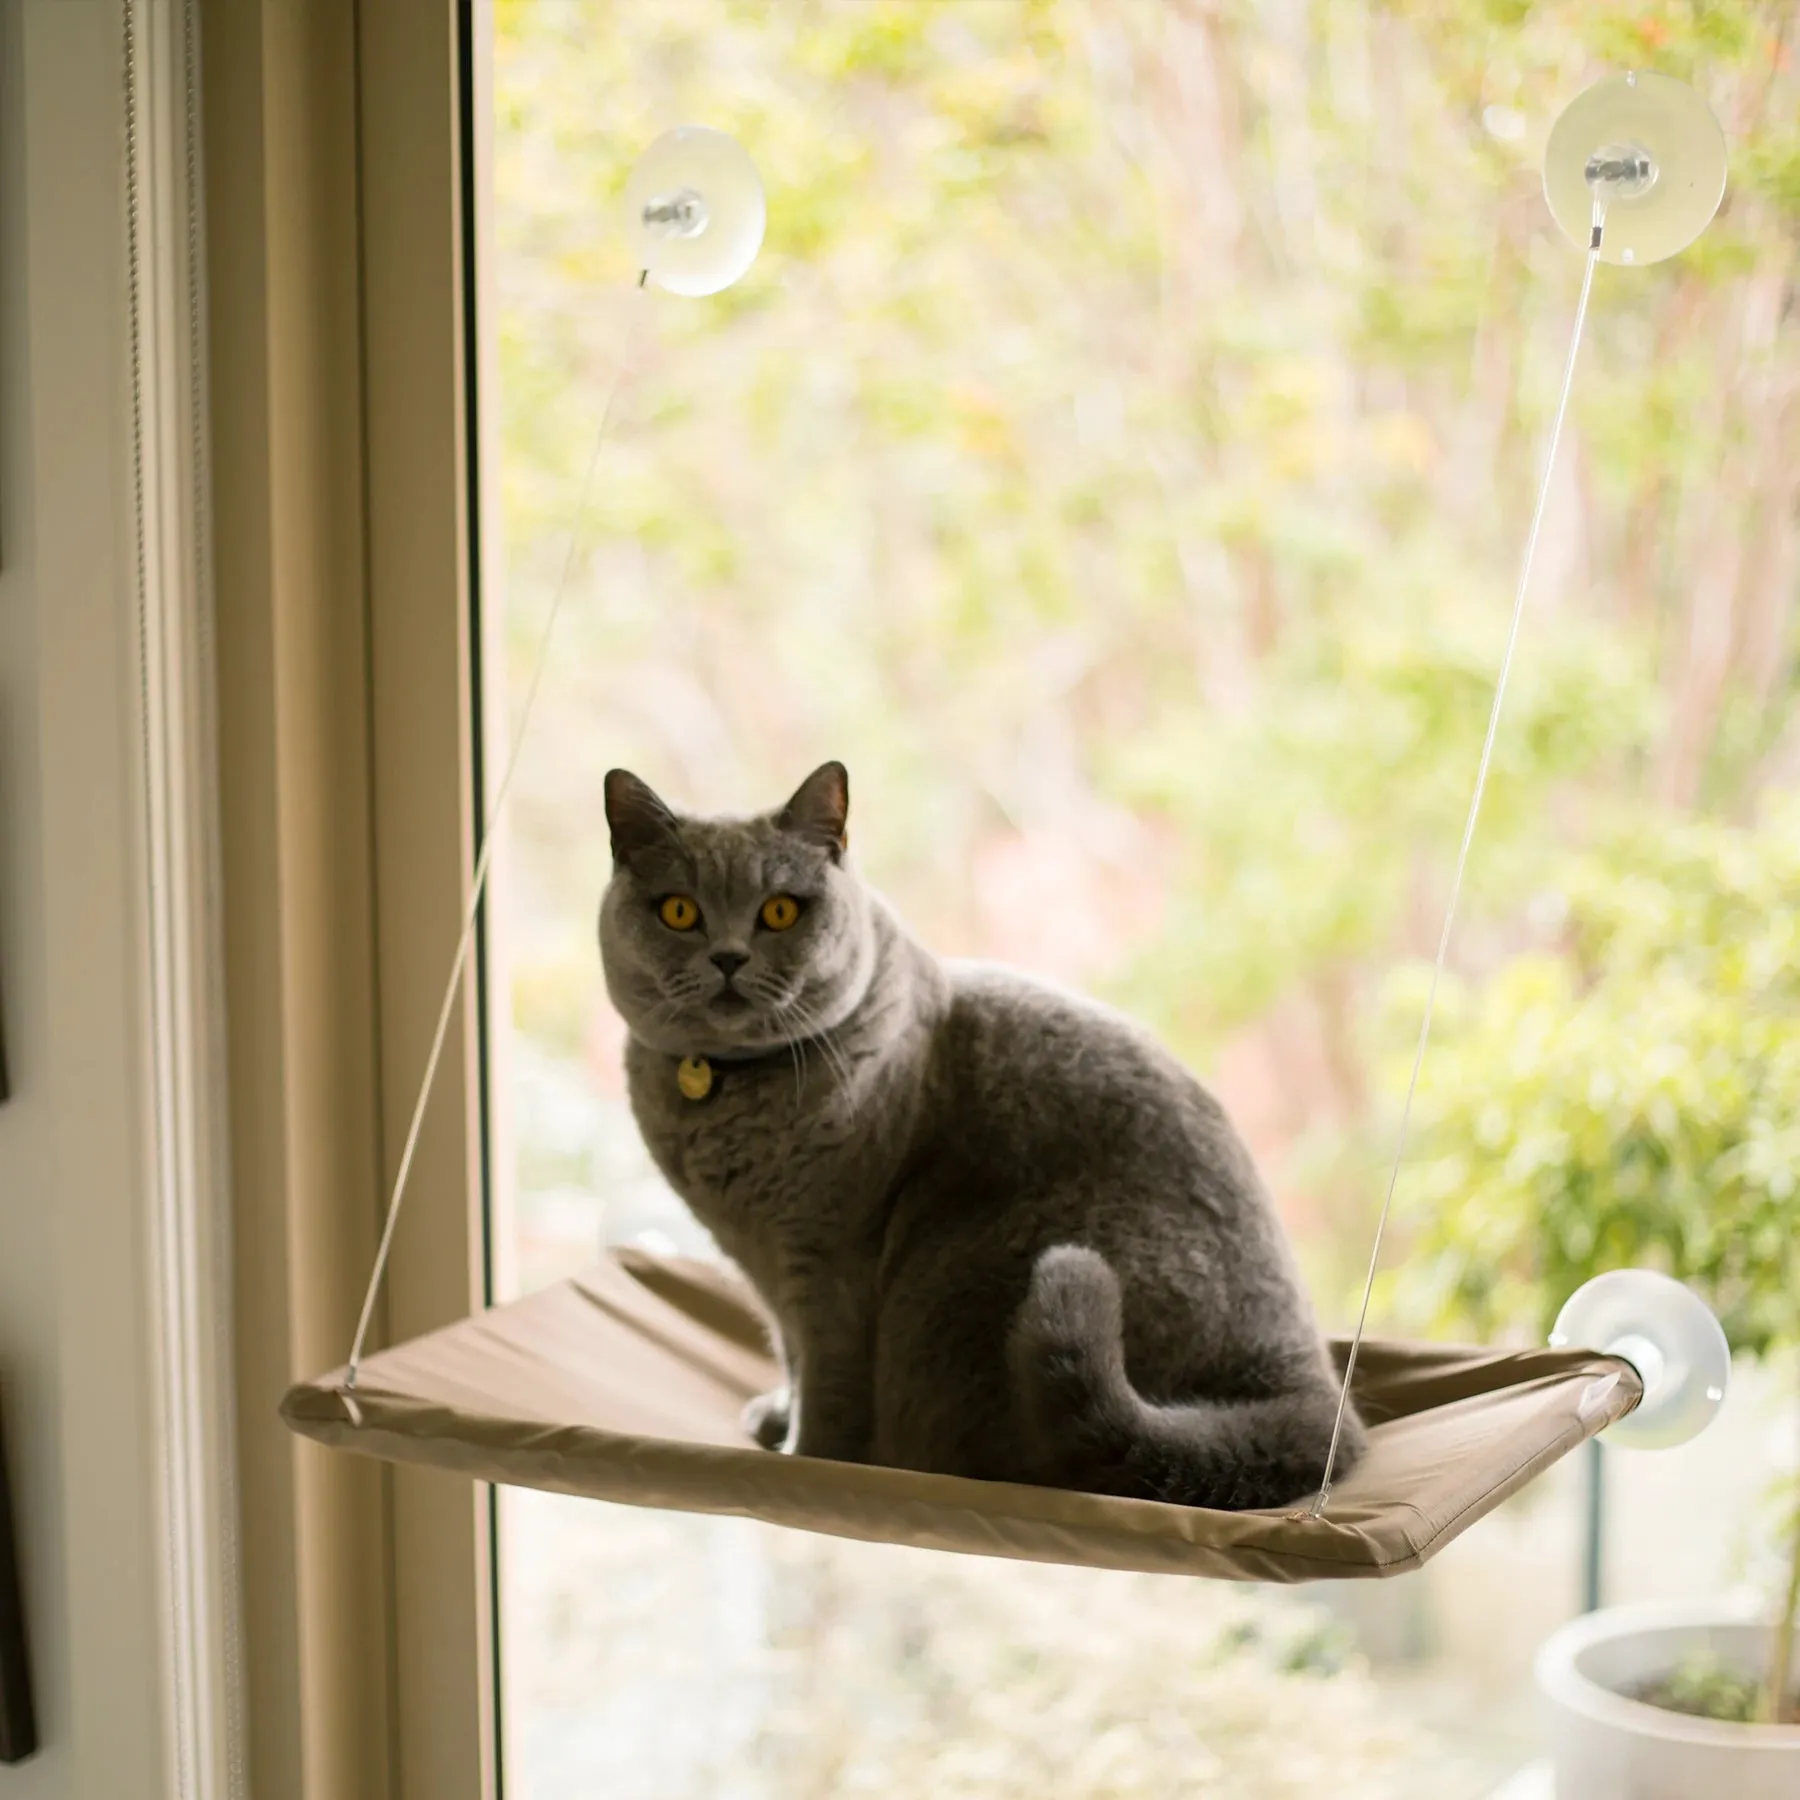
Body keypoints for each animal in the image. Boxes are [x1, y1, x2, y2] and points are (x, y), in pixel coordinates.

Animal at [597, 766, 1353, 1512]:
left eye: (781, 911)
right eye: (679, 911)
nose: (728, 956)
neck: (722, 1097)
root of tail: (1310, 1387)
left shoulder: (830, 1263)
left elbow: (828, 1383)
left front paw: (805, 1462)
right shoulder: (762, 1266)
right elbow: (787, 1350)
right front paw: (777, 1417)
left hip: (952, 1284)